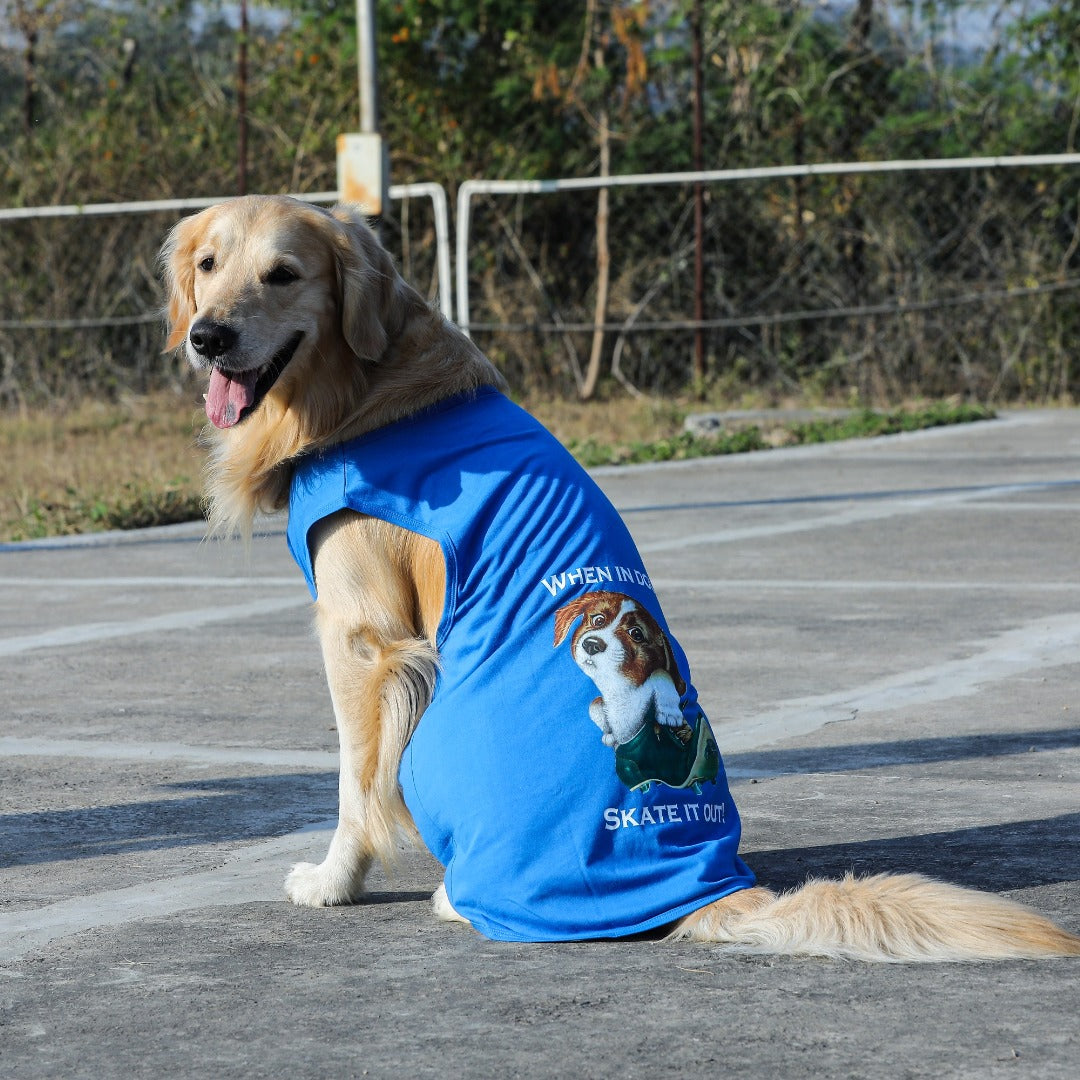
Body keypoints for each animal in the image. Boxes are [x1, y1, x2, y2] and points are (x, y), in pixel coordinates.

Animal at [162, 196, 1080, 963]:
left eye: (283, 274)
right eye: (209, 265)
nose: (207, 337)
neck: (360, 389)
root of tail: (707, 888)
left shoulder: (363, 640)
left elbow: (355, 783)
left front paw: (332, 882)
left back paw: (460, 894)